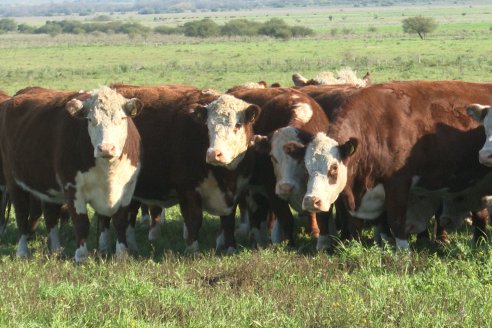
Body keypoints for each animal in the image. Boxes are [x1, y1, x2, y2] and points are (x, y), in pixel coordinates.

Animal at [0, 86, 142, 262]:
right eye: (90, 120)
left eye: (122, 118)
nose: (106, 148)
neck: (108, 170)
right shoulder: (72, 187)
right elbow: (81, 223)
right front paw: (81, 255)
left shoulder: (128, 188)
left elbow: (120, 221)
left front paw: (122, 254)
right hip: (13, 181)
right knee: (21, 214)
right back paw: (22, 251)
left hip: (48, 187)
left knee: (50, 215)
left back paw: (56, 249)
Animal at [284, 80, 492, 249]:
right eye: (307, 167)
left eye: (333, 168)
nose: (311, 201)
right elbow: (362, 223)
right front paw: (370, 244)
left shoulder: (398, 183)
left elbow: (396, 219)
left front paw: (403, 250)